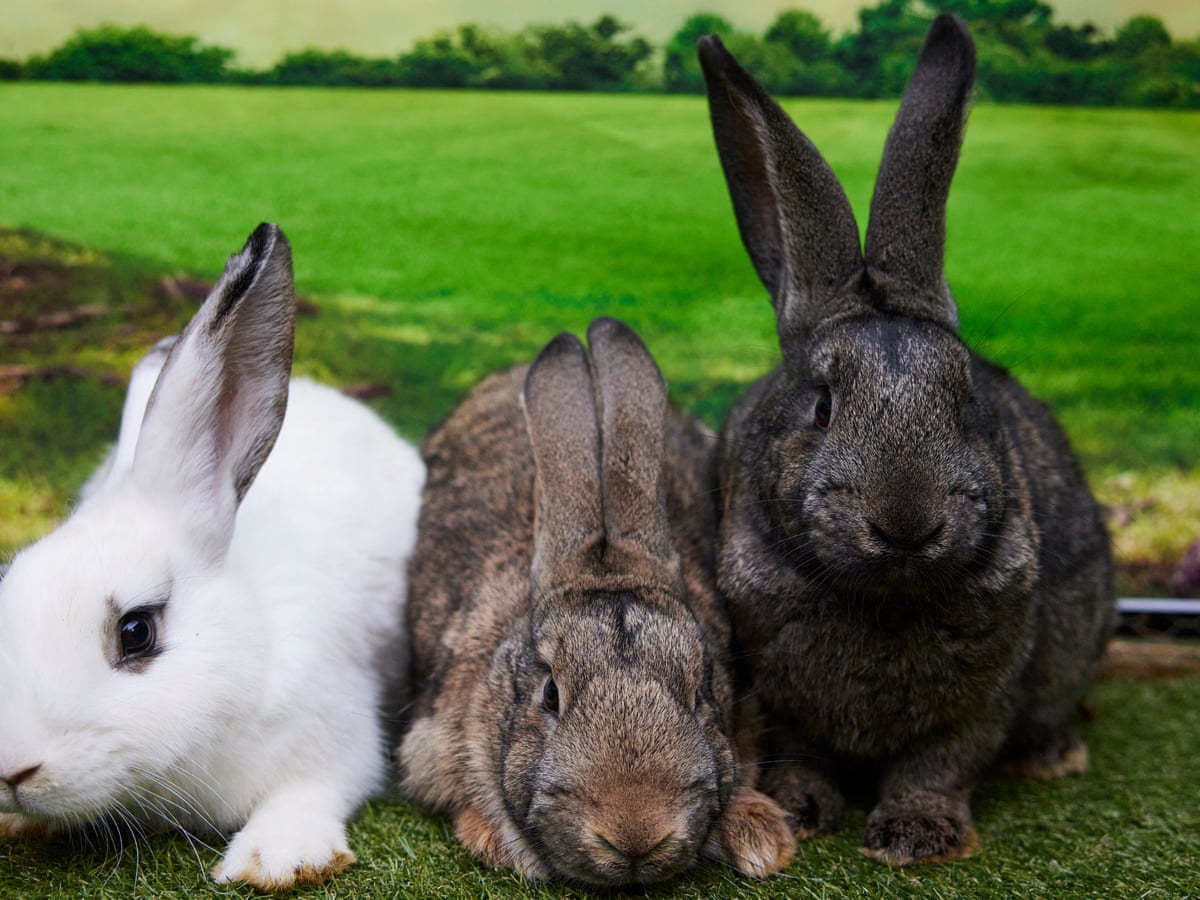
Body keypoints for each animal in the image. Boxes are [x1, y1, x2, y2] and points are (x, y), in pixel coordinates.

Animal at [697, 15, 1115, 866]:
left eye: (966, 398)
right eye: (821, 406)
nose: (906, 523)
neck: (883, 595)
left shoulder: (985, 701)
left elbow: (940, 763)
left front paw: (914, 835)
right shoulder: (774, 698)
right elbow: (799, 754)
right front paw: (802, 812)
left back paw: (1055, 757)